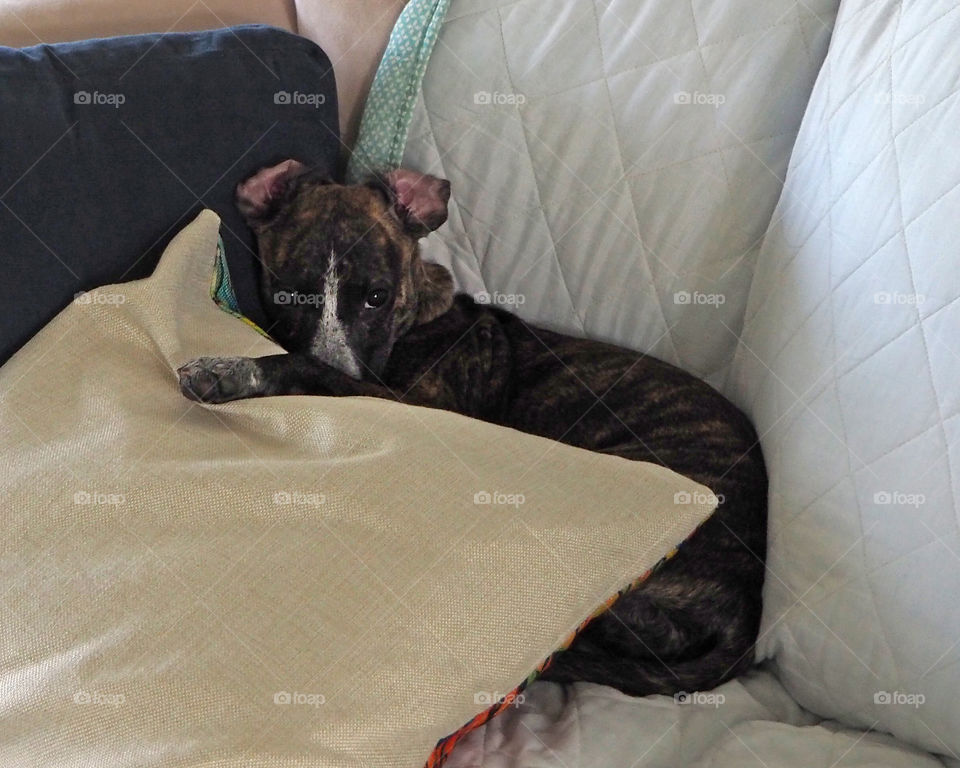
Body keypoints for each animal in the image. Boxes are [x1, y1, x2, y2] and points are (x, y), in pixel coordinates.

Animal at [178, 160, 764, 696]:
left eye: (376, 296)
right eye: (288, 294)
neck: (419, 321)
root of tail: (748, 611)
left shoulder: (416, 404)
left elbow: (308, 369)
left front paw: (231, 370)